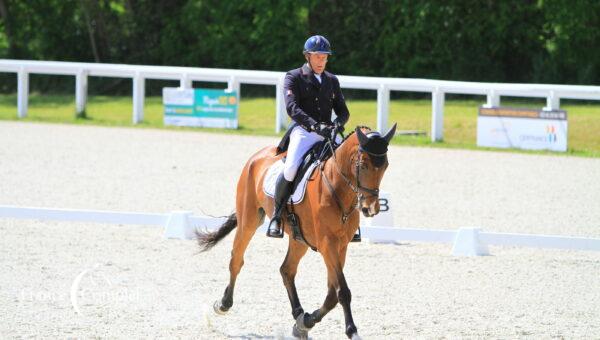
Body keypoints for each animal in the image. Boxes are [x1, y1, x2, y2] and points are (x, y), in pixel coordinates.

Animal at [195, 123, 396, 338]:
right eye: (363, 165)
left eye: (385, 165)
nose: (371, 209)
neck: (336, 186)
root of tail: (257, 156)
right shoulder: (327, 244)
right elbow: (342, 291)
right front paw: (352, 331)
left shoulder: (340, 246)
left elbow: (332, 294)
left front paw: (306, 322)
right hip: (248, 221)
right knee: (236, 260)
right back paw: (223, 304)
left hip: (299, 238)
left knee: (287, 270)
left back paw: (299, 315)